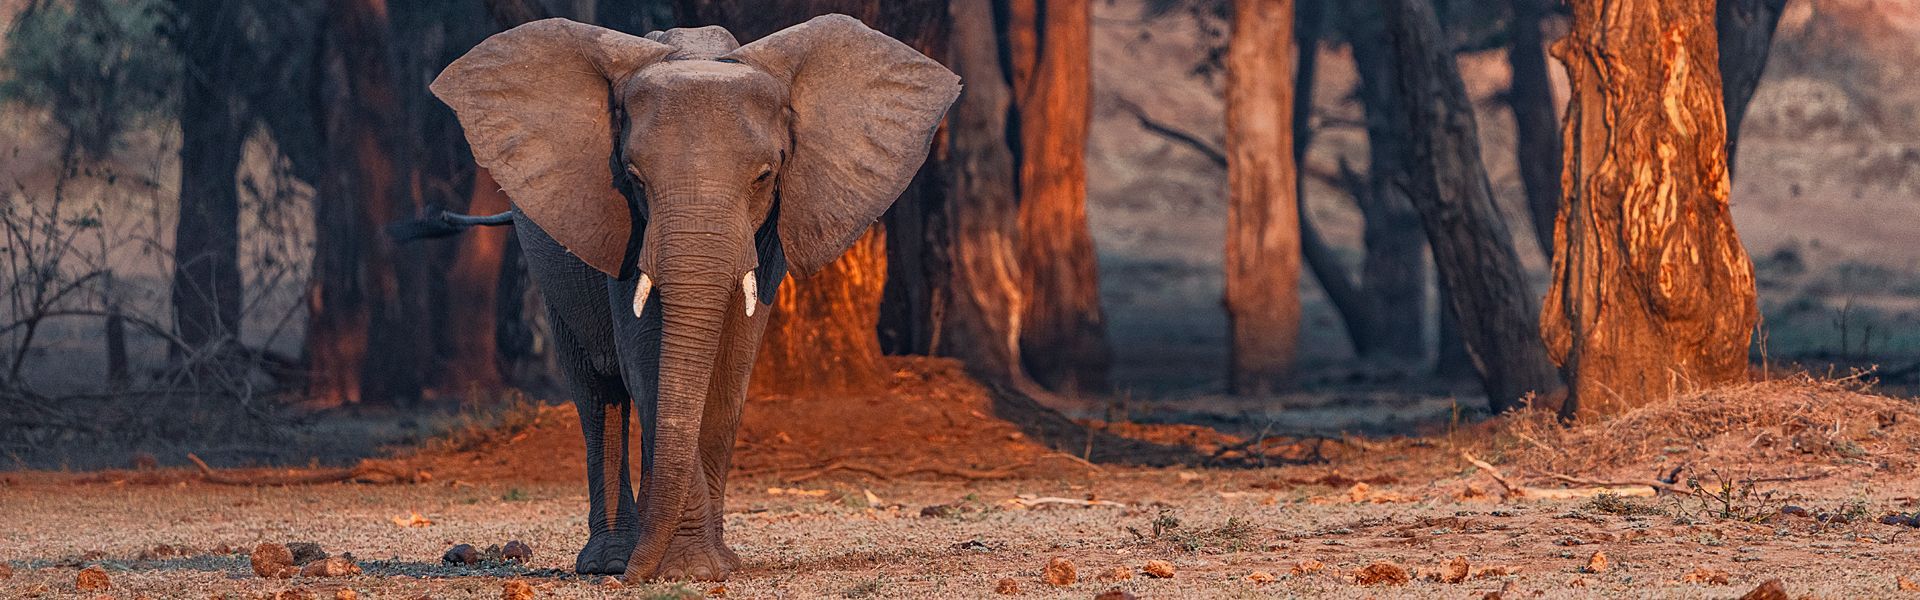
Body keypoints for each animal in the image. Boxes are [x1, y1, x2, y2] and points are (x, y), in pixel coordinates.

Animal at [416, 14, 959, 581]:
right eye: (633, 176)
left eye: (764, 176)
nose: (634, 578)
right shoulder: (623, 227)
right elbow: (646, 360)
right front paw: (684, 570)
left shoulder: (769, 231)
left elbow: (729, 369)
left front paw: (706, 567)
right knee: (596, 390)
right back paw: (610, 560)